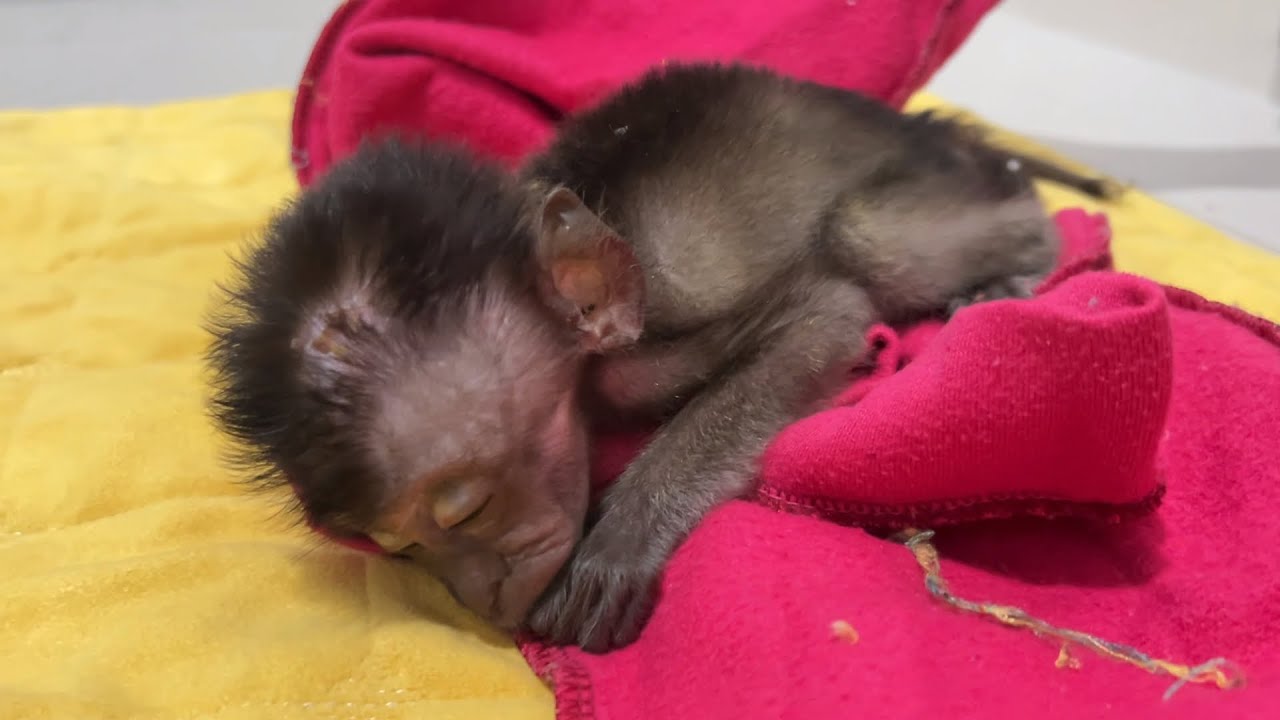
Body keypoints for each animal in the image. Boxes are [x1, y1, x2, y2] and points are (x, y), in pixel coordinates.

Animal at [205, 62, 1116, 654]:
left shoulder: (639, 355)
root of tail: (930, 129)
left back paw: (1028, 260)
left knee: (873, 234)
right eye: (401, 548)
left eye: (465, 514)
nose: (478, 596)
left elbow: (824, 318)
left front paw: (625, 535)